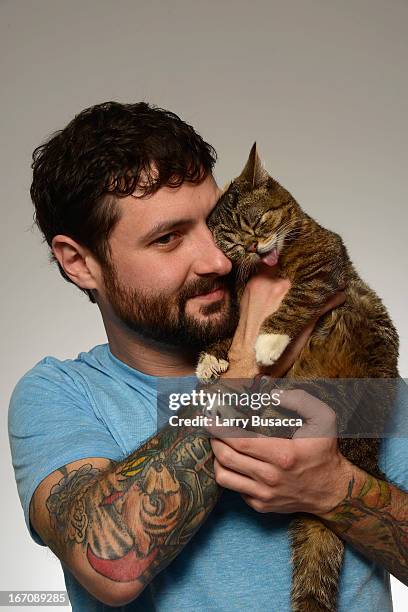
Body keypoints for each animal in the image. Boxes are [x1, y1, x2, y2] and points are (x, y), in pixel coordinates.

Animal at [197, 145, 398, 612]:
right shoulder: (237, 303)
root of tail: (363, 453)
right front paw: (211, 358)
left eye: (256, 224)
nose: (254, 247)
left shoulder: (325, 265)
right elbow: (229, 331)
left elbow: (297, 297)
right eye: (233, 243)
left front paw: (269, 339)